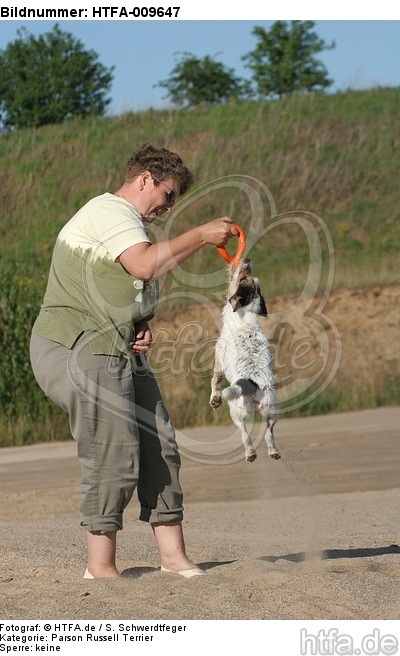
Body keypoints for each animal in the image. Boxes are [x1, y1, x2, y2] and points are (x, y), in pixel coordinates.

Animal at [211, 256, 280, 462]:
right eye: (248, 279)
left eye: (242, 278)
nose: (247, 259)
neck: (245, 318)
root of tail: (252, 383)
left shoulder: (218, 361)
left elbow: (215, 382)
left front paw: (214, 400)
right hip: (272, 412)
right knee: (269, 434)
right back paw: (273, 452)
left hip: (236, 412)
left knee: (245, 435)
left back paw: (250, 454)